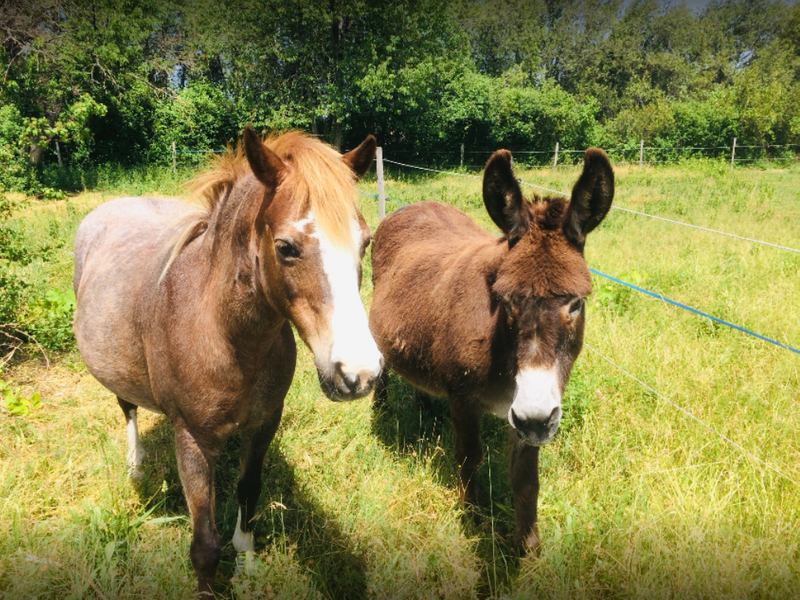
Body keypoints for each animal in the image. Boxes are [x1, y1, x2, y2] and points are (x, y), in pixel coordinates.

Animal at [72, 127, 384, 596]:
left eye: (365, 241)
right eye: (286, 247)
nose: (359, 373)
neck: (226, 336)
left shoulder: (264, 424)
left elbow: (248, 492)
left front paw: (248, 560)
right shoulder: (192, 441)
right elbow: (204, 544)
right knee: (127, 408)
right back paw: (136, 467)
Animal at [368, 148, 612, 556]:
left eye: (576, 305)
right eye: (504, 301)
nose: (534, 419)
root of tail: (415, 205)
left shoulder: (528, 412)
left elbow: (526, 480)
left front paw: (528, 548)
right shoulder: (464, 398)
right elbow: (469, 458)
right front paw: (474, 518)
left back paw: (422, 404)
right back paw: (382, 406)